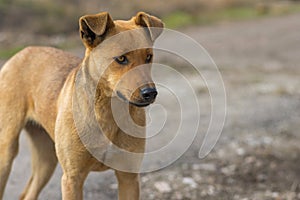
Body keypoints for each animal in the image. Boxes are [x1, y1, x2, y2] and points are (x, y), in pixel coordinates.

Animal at [0, 11, 163, 200]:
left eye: (149, 57)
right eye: (121, 59)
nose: (150, 93)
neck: (107, 113)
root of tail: (23, 52)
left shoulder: (128, 177)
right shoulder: (72, 178)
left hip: (46, 159)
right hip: (7, 151)